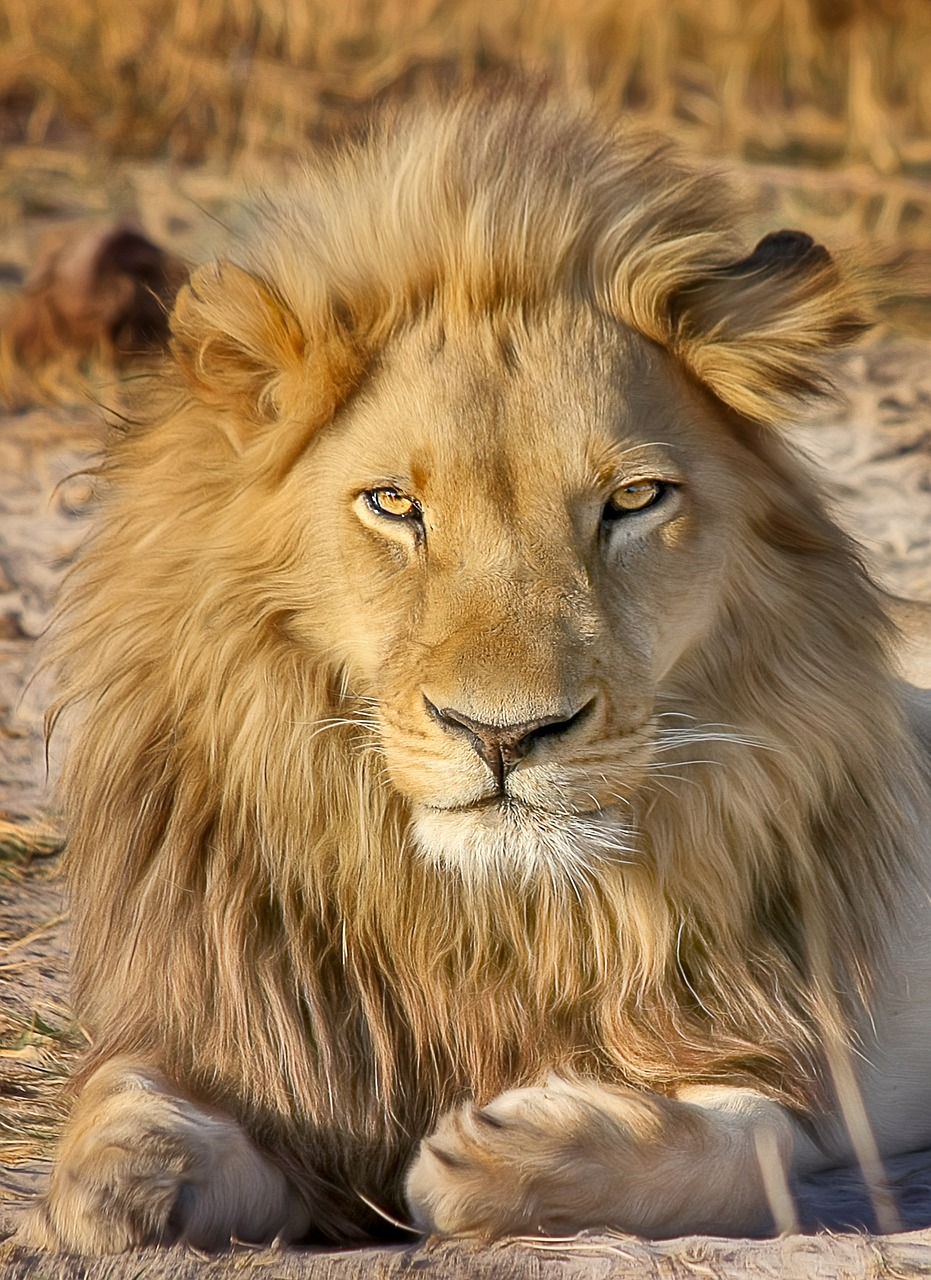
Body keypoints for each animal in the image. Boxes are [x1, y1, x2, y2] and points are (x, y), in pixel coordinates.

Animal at [20, 85, 931, 1254]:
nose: (505, 735)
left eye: (634, 500)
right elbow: (127, 1094)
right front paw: (113, 1173)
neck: (483, 916)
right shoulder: (267, 1043)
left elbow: (741, 1141)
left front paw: (507, 1154)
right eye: (393, 505)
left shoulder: (796, 1055)